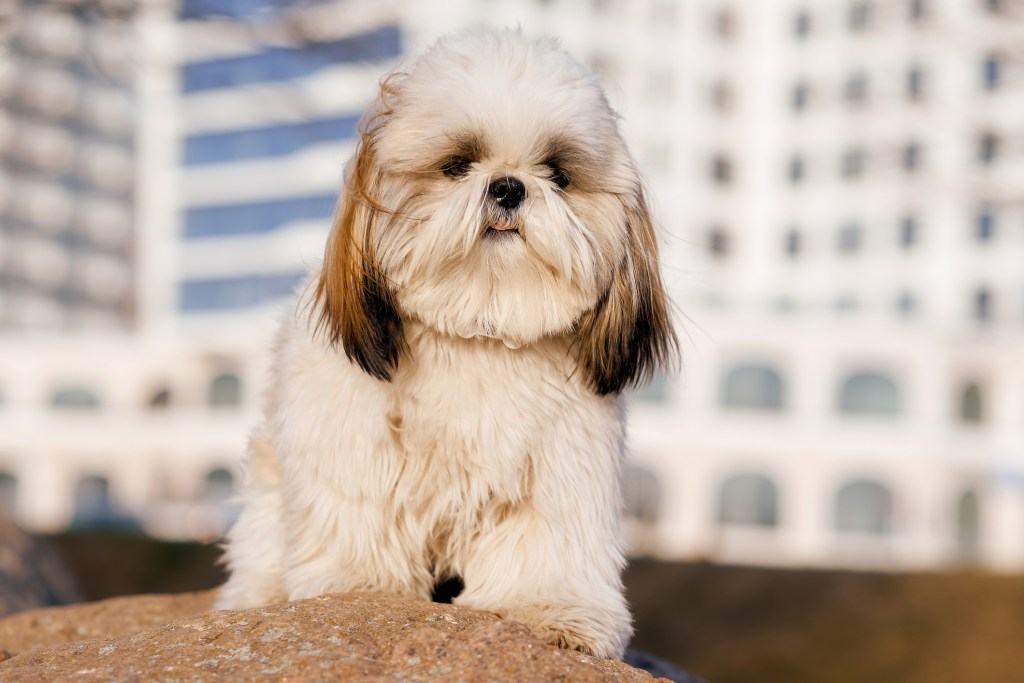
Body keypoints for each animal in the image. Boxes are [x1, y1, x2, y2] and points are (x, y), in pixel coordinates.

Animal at [216, 28, 675, 663]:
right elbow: (360, 519)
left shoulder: (563, 462)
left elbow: (547, 545)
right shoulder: (352, 442)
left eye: (557, 174)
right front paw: (360, 590)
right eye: (457, 165)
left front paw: (551, 611)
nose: (508, 187)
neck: (476, 328)